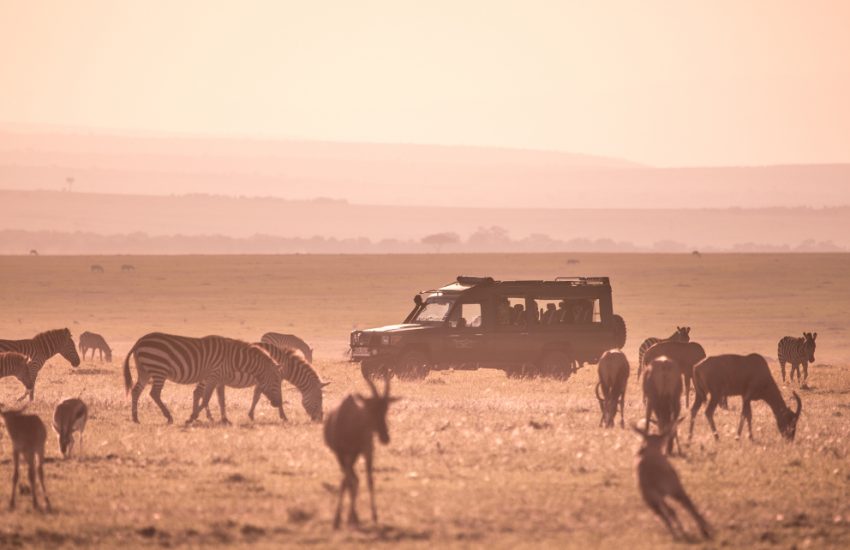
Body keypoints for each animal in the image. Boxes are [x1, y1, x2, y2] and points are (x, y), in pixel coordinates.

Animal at [122, 332, 284, 426]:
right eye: (276, 382)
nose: (278, 403)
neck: (233, 359)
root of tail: (139, 341)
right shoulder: (213, 376)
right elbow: (206, 399)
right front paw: (192, 417)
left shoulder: (220, 380)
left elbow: (221, 400)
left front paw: (225, 420)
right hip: (158, 369)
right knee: (154, 393)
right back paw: (168, 417)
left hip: (144, 371)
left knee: (136, 391)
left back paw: (135, 418)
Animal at [322, 366, 400, 532]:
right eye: (370, 408)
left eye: (386, 408)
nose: (385, 437)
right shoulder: (340, 453)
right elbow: (348, 481)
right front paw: (338, 520)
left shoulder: (366, 450)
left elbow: (368, 480)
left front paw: (371, 516)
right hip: (347, 456)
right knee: (351, 479)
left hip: (356, 454)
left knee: (357, 479)